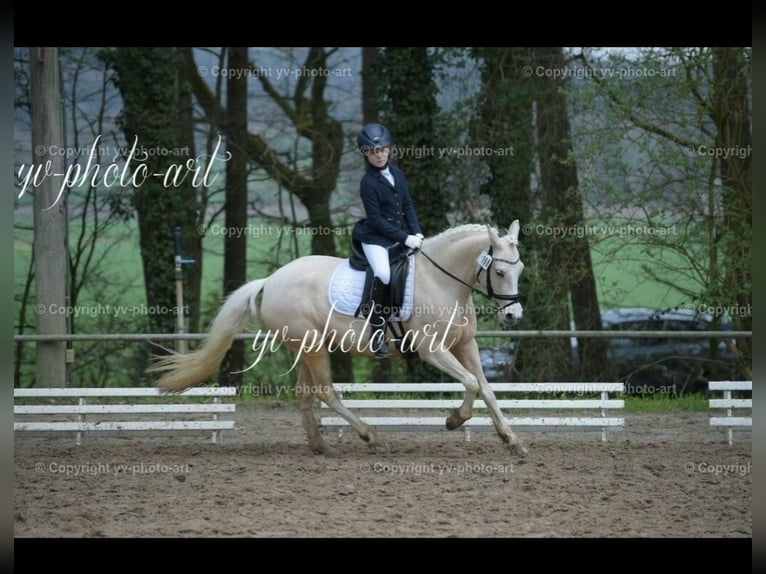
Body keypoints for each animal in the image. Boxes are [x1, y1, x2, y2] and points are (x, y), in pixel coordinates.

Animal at [149, 222, 528, 460]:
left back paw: (322, 448)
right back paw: (371, 437)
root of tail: (270, 280)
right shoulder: (432, 350)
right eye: (499, 272)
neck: (441, 280)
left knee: (304, 394)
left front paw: (512, 441)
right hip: (314, 346)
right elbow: (471, 384)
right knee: (325, 391)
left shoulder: (466, 346)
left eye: (520, 269)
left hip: (306, 347)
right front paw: (454, 420)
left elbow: (486, 388)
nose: (513, 316)